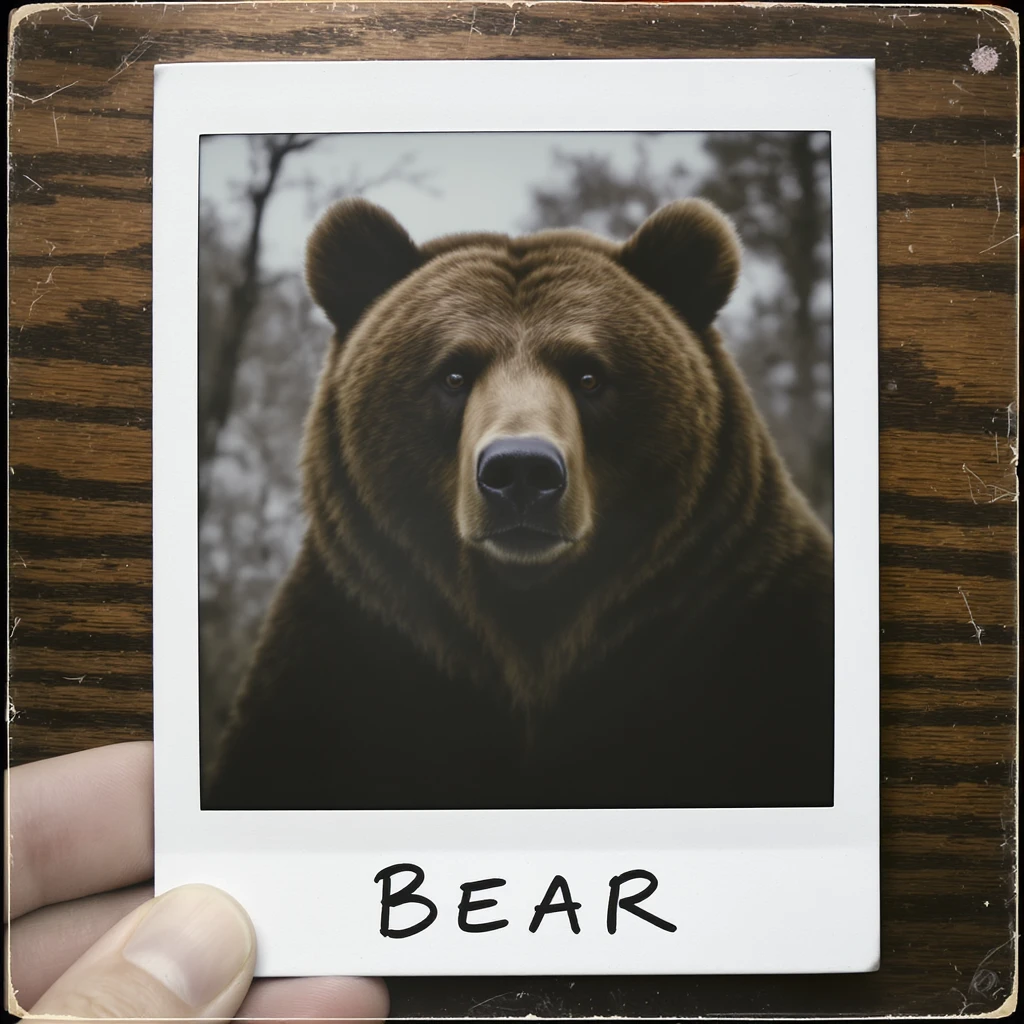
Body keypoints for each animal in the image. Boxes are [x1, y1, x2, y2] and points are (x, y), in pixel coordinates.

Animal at [205, 197, 834, 811]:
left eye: (589, 375)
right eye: (454, 373)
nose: (522, 471)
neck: (529, 640)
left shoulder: (740, 618)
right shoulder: (350, 646)